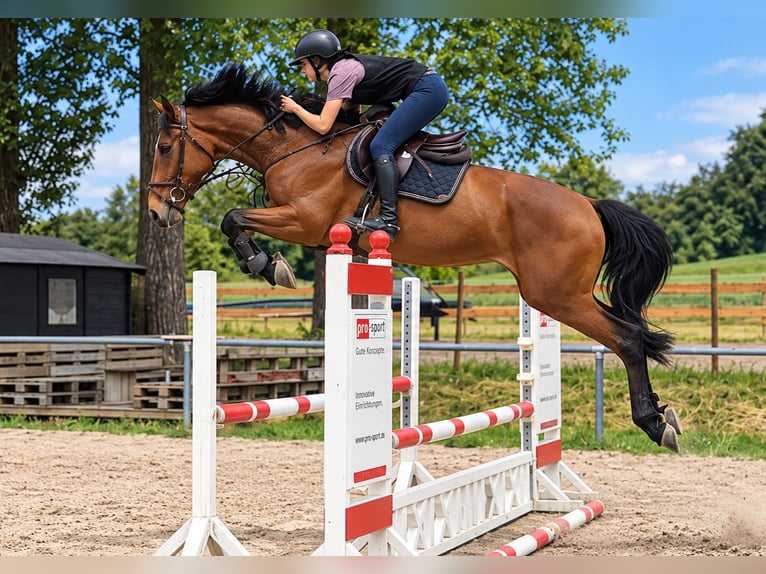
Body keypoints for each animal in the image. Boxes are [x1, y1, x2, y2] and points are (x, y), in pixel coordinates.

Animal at [148, 63, 683, 452]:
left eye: (166, 146)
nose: (157, 212)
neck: (297, 148)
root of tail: (588, 205)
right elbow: (237, 219)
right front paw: (267, 263)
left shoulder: (306, 222)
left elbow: (233, 217)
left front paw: (266, 266)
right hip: (559, 293)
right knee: (632, 334)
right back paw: (661, 416)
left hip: (556, 294)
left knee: (628, 338)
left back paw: (655, 424)